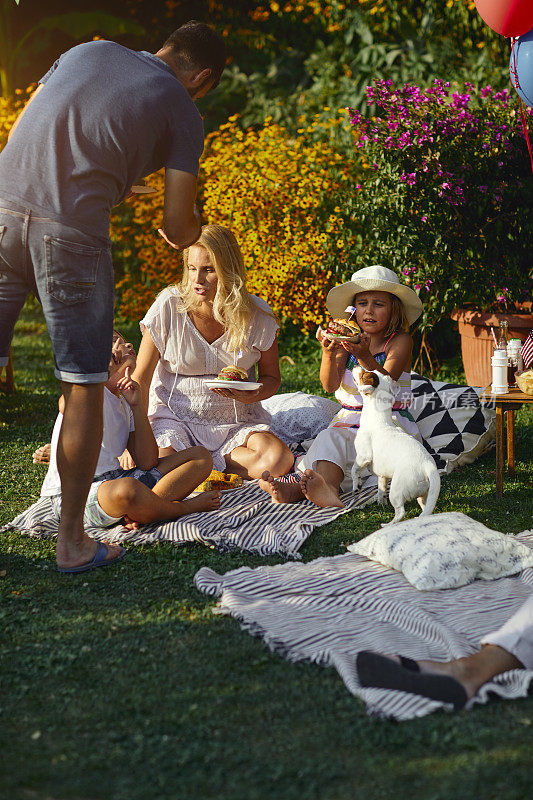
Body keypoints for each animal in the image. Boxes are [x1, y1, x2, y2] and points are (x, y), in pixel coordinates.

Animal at [350, 368, 440, 524]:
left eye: (363, 374)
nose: (355, 366)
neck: (378, 419)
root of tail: (428, 465)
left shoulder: (363, 456)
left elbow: (354, 469)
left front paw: (357, 485)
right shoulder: (382, 475)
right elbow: (381, 488)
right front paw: (381, 503)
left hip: (397, 490)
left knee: (401, 512)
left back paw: (388, 524)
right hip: (424, 494)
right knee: (426, 508)